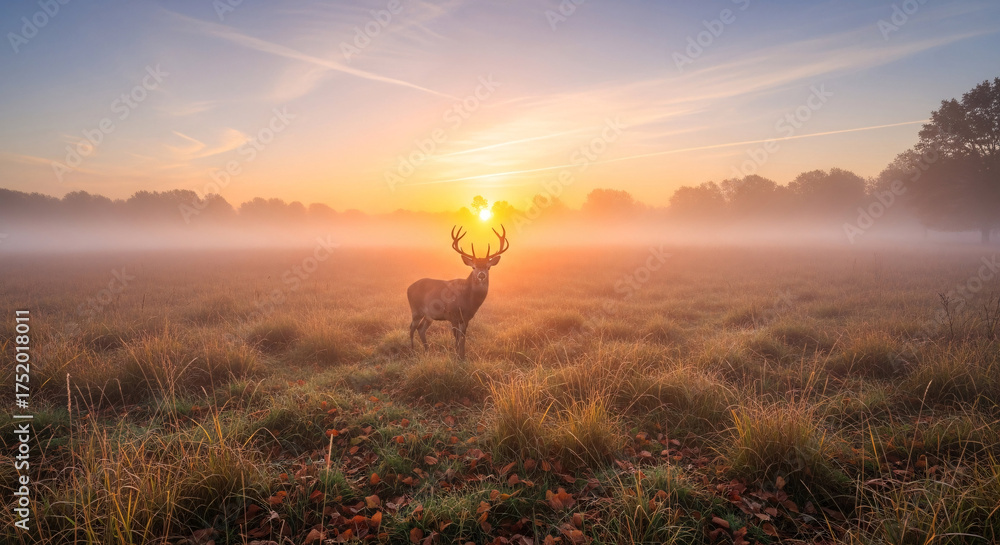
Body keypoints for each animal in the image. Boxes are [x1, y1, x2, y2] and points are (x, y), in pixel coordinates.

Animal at [407, 225, 509, 359]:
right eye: (473, 267)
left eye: (488, 267)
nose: (481, 275)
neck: (468, 300)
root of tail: (408, 288)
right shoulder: (452, 314)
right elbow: (456, 337)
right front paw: (456, 356)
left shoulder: (466, 317)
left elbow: (463, 337)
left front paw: (463, 356)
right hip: (416, 309)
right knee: (412, 327)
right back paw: (412, 351)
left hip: (429, 315)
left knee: (421, 329)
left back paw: (427, 350)